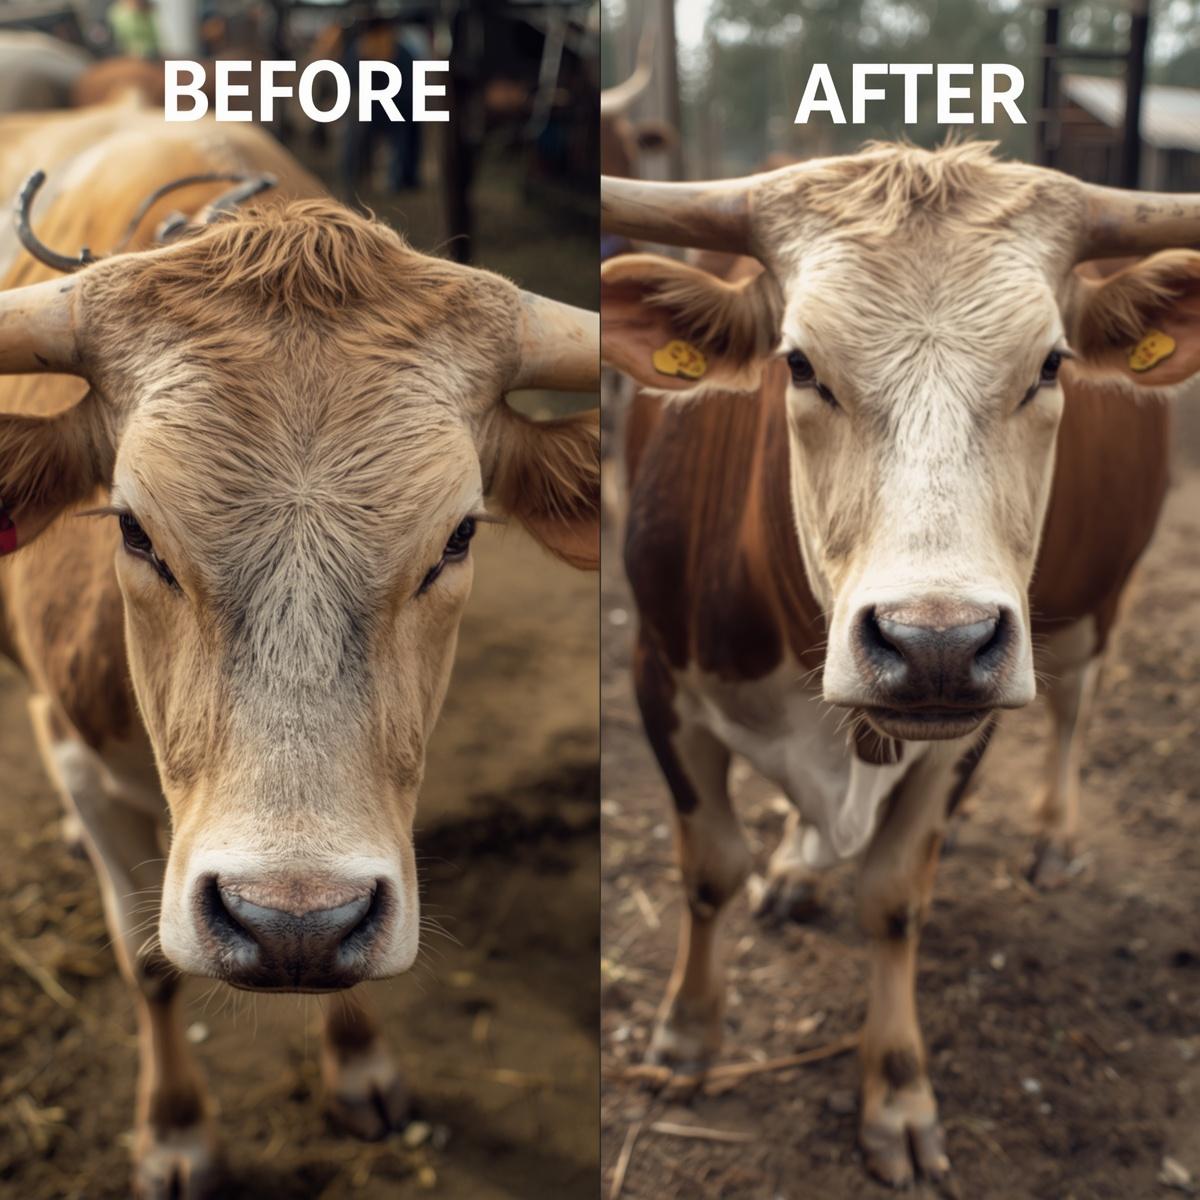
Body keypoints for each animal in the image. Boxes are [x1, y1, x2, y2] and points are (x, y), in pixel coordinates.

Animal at [0, 103, 598, 1199]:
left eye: (459, 536)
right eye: (133, 528)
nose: (289, 922)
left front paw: (359, 1064)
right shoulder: (71, 749)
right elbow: (145, 960)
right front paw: (176, 1130)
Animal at [600, 141, 1195, 1187]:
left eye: (1050, 364)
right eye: (799, 363)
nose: (936, 644)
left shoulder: (966, 732)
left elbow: (892, 899)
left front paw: (898, 1091)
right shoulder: (657, 674)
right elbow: (709, 868)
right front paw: (688, 1036)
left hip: (1096, 605)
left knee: (1076, 705)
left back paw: (1054, 834)